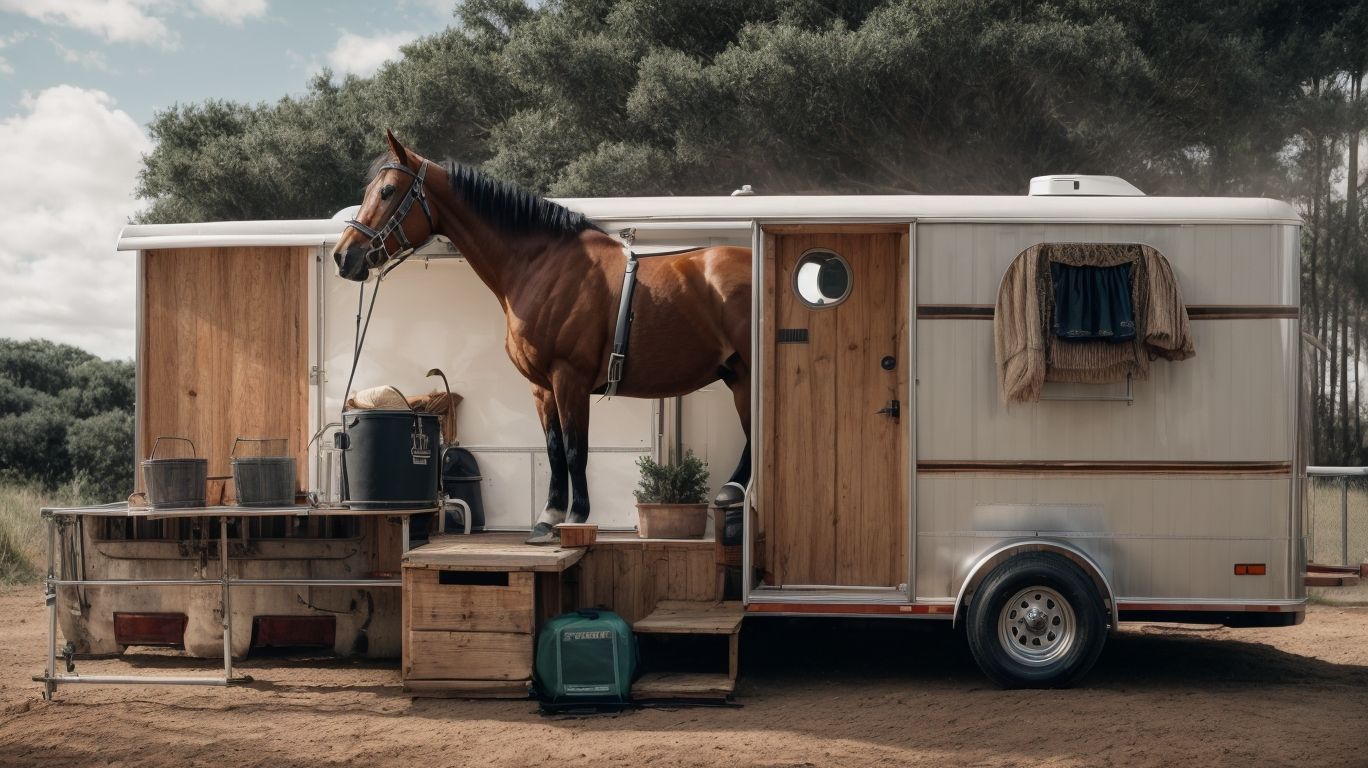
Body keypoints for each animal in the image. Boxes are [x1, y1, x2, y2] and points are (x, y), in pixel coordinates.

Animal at [333, 131, 752, 544]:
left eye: (387, 191)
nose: (344, 255)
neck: (543, 265)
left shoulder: (570, 378)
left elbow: (575, 449)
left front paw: (577, 515)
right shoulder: (542, 386)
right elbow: (553, 450)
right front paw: (547, 519)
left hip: (747, 376)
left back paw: (731, 496)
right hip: (737, 376)